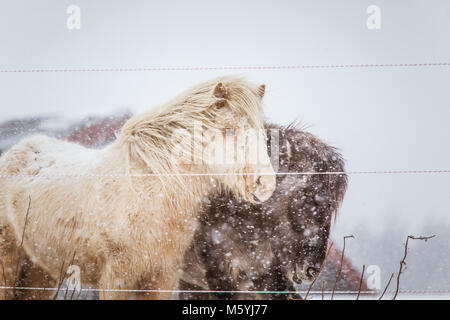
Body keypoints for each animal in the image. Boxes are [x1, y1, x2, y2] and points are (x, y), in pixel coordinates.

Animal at [0, 75, 276, 300]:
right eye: (229, 129)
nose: (266, 184)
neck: (152, 191)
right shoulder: (116, 277)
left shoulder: (162, 276)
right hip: (9, 263)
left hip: (40, 271)